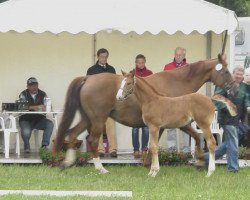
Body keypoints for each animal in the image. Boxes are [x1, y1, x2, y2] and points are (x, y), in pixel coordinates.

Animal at [53, 54, 237, 173]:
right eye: (226, 71)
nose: (235, 88)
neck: (177, 82)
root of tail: (88, 79)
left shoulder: (180, 122)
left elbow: (197, 138)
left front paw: (199, 160)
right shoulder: (168, 124)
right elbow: (153, 145)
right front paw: (150, 165)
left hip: (87, 118)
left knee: (72, 133)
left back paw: (67, 162)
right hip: (98, 119)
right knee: (91, 140)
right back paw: (100, 168)